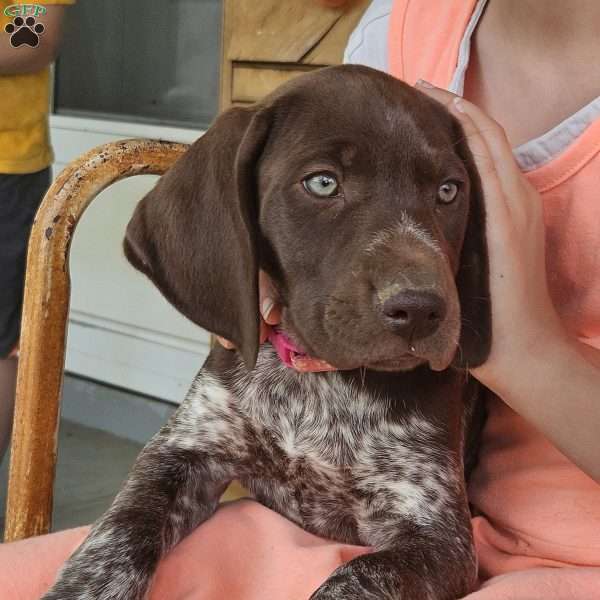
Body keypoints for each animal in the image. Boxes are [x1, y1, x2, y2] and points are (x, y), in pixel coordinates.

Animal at [43, 65, 492, 600]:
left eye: (448, 191)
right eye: (322, 183)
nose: (423, 309)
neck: (319, 382)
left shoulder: (437, 533)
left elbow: (358, 576)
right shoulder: (183, 451)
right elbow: (121, 526)